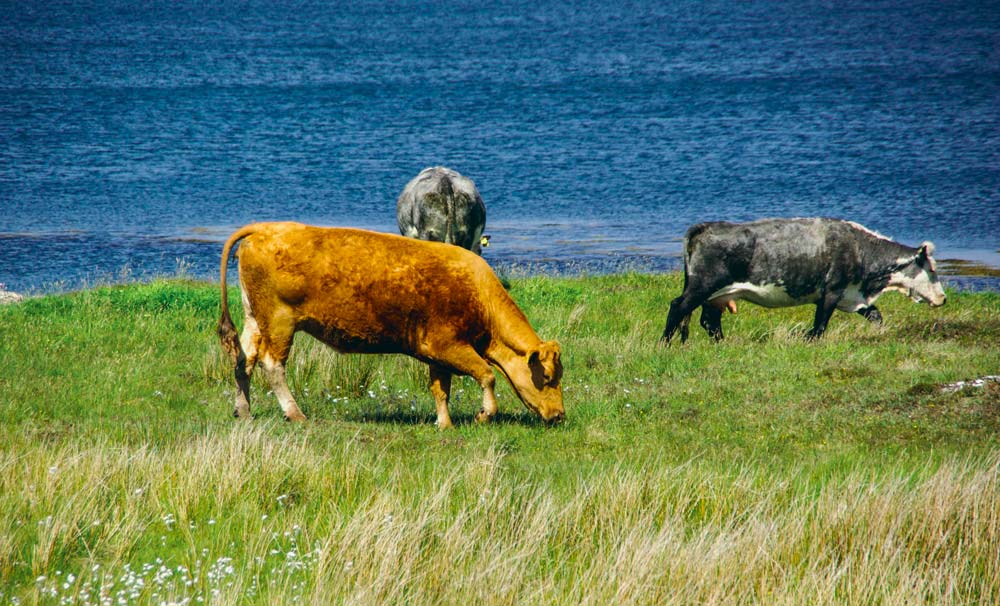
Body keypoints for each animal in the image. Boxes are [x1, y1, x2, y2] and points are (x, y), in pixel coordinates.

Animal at [218, 222, 564, 428]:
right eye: (547, 377)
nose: (559, 414)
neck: (478, 293)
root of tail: (264, 228)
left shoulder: (436, 354)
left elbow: (441, 389)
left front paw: (444, 424)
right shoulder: (450, 346)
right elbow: (487, 375)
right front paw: (484, 414)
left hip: (255, 320)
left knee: (244, 361)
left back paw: (243, 411)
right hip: (279, 324)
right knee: (272, 364)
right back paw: (295, 413)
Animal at [660, 218, 948, 344]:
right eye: (932, 269)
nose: (943, 298)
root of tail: (705, 226)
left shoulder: (851, 295)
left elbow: (875, 315)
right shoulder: (832, 290)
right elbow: (820, 323)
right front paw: (809, 341)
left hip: (718, 295)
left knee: (709, 320)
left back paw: (722, 343)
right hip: (702, 286)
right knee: (678, 306)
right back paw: (665, 343)